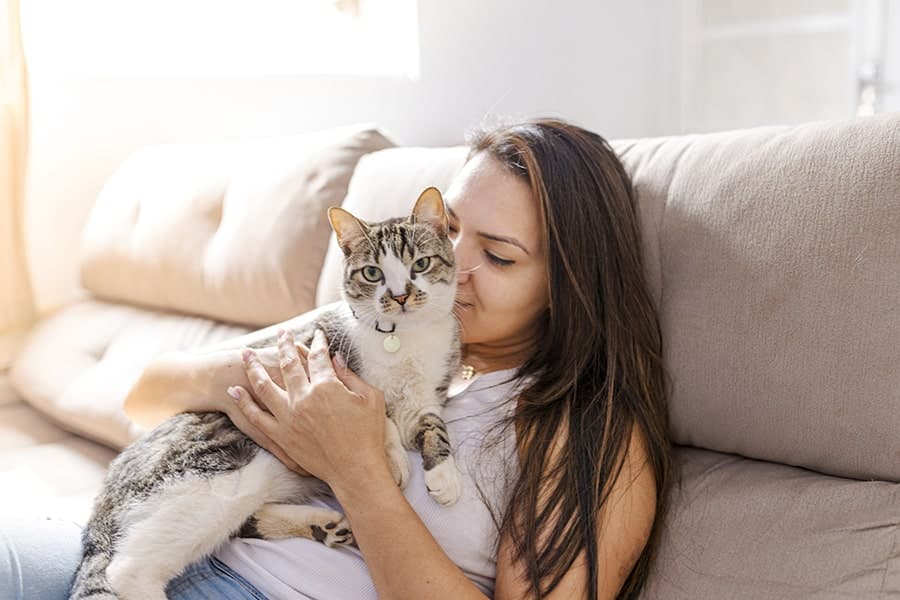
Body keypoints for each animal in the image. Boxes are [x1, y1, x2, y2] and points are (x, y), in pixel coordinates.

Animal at [68, 188, 464, 600]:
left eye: (420, 264)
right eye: (373, 273)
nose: (400, 296)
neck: (405, 340)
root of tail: (108, 488)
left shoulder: (425, 396)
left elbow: (432, 424)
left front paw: (445, 475)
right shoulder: (330, 364)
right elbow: (379, 416)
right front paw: (395, 460)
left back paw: (326, 527)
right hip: (214, 480)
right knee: (128, 568)